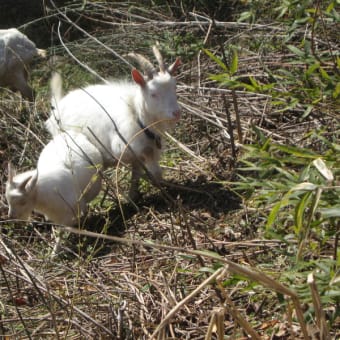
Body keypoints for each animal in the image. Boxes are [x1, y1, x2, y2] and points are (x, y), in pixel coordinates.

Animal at [46, 45, 182, 199]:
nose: (176, 113)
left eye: (175, 87)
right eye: (153, 94)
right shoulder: (123, 148)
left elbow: (139, 174)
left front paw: (133, 195)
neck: (136, 116)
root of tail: (57, 107)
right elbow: (146, 155)